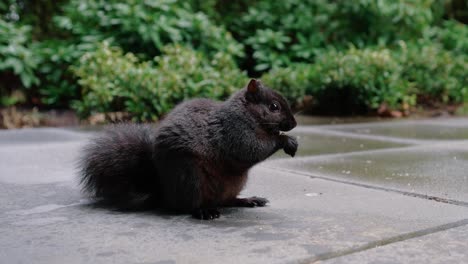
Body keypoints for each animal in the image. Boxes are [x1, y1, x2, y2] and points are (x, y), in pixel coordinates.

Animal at [77, 79, 296, 220]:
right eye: (274, 107)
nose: (293, 124)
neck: (248, 114)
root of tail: (164, 192)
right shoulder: (234, 131)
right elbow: (252, 148)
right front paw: (285, 140)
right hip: (190, 176)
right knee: (188, 206)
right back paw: (203, 211)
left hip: (234, 182)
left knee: (226, 200)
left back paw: (247, 200)